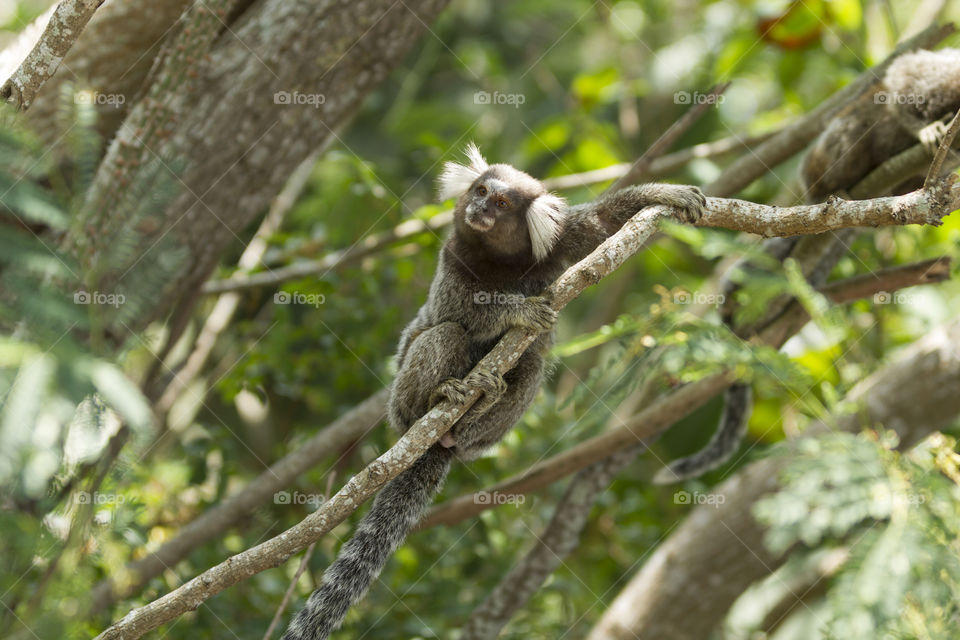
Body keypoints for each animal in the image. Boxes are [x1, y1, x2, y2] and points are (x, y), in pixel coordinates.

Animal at [280, 145, 704, 640]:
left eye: (502, 204)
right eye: (481, 191)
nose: (480, 208)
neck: (500, 259)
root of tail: (434, 441)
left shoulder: (561, 239)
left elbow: (604, 221)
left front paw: (667, 193)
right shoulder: (452, 257)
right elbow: (462, 310)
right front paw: (517, 311)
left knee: (531, 366)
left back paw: (484, 404)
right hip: (398, 407)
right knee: (443, 335)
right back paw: (442, 396)